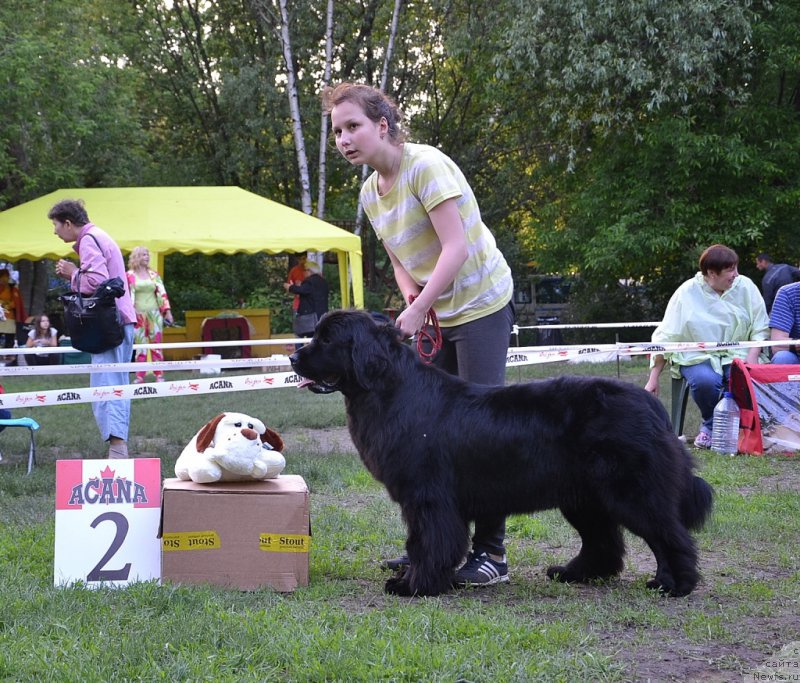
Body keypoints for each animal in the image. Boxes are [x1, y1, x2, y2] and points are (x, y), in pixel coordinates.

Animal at [290, 312, 716, 600]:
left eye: (327, 340)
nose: (293, 358)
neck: (387, 391)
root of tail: (652, 405)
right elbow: (420, 543)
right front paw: (413, 580)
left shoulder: (428, 497)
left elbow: (427, 543)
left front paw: (414, 586)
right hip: (584, 497)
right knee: (604, 541)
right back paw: (574, 573)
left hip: (632, 492)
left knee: (668, 535)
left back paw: (674, 584)